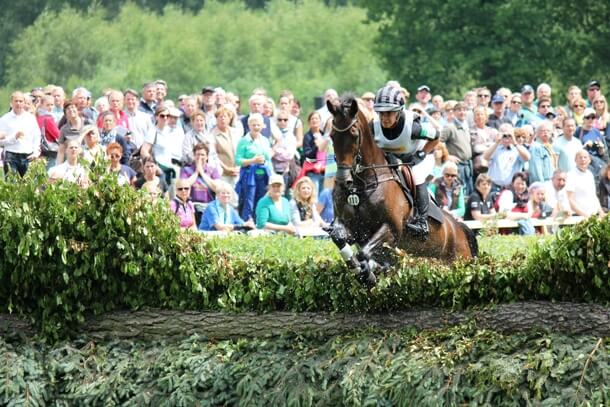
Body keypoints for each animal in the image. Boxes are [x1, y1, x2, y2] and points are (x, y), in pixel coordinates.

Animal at [326, 96, 478, 286]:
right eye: (332, 135)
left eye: (354, 134)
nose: (342, 180)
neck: (360, 187)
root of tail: (459, 228)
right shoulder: (350, 227)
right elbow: (339, 238)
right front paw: (361, 270)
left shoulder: (391, 229)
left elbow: (364, 253)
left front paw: (368, 272)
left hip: (459, 260)